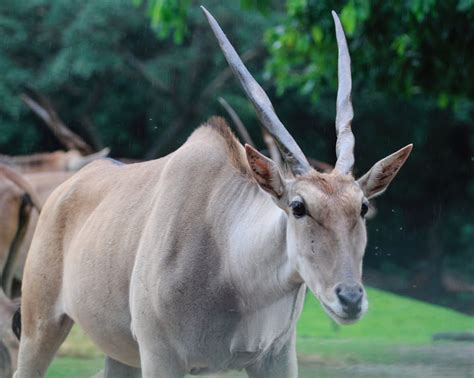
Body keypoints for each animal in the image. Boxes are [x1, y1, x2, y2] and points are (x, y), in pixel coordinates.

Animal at [11, 8, 412, 378]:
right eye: (298, 206)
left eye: (362, 207)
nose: (350, 298)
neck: (231, 264)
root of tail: (62, 192)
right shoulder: (161, 356)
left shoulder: (277, 355)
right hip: (39, 325)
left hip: (119, 354)